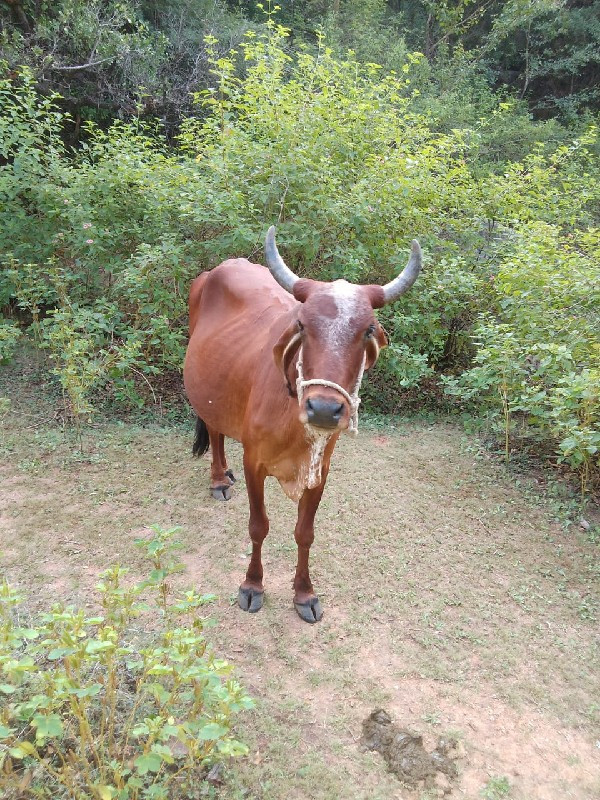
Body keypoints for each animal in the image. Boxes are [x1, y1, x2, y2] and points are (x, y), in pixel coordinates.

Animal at [183, 228, 422, 620]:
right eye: (302, 325)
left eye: (368, 329)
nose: (324, 408)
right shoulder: (254, 462)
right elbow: (258, 526)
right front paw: (252, 585)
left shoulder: (320, 470)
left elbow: (304, 532)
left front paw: (304, 593)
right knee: (214, 429)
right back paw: (219, 478)